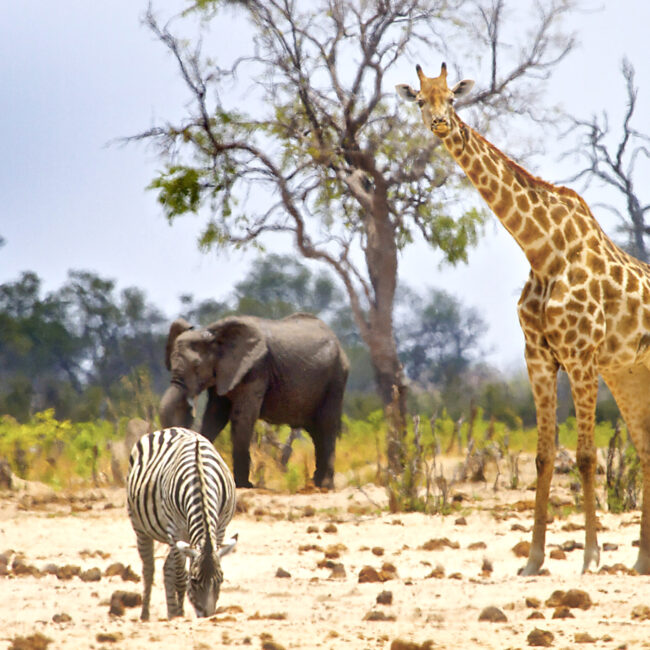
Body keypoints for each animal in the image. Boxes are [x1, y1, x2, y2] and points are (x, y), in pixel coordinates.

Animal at [126, 426, 235, 616]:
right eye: (195, 580)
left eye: (220, 580)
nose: (207, 616)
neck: (200, 479)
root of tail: (169, 429)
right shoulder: (176, 530)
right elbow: (180, 576)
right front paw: (181, 614)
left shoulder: (220, 528)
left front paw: (178, 613)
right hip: (139, 524)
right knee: (149, 568)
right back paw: (146, 614)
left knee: (166, 569)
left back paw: (171, 614)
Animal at [158, 312, 350, 486]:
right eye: (171, 364)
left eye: (197, 366)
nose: (189, 409)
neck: (214, 334)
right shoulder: (224, 373)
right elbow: (214, 416)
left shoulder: (256, 369)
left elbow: (242, 417)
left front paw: (243, 485)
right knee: (316, 432)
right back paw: (315, 483)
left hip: (336, 378)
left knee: (326, 426)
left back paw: (324, 485)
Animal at [392, 63, 648, 576]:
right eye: (420, 101)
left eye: (452, 98)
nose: (440, 124)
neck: (543, 250)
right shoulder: (540, 358)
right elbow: (544, 457)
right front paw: (532, 561)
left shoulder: (581, 357)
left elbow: (586, 456)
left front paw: (590, 558)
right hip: (630, 373)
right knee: (648, 449)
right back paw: (642, 561)